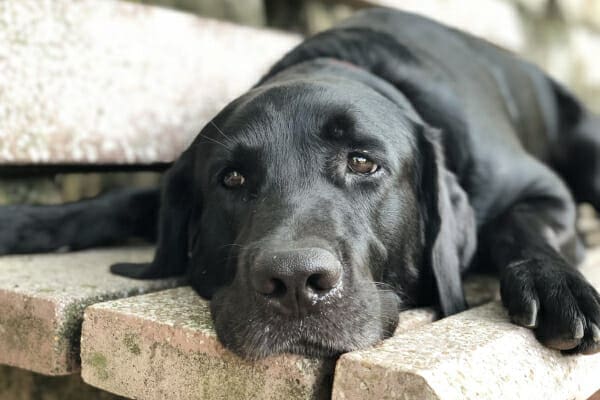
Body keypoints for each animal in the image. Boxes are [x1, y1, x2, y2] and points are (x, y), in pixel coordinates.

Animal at [3, 8, 600, 360]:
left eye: (363, 163)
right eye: (232, 177)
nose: (294, 282)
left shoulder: (542, 192)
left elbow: (519, 224)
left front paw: (556, 284)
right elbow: (120, 199)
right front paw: (26, 222)